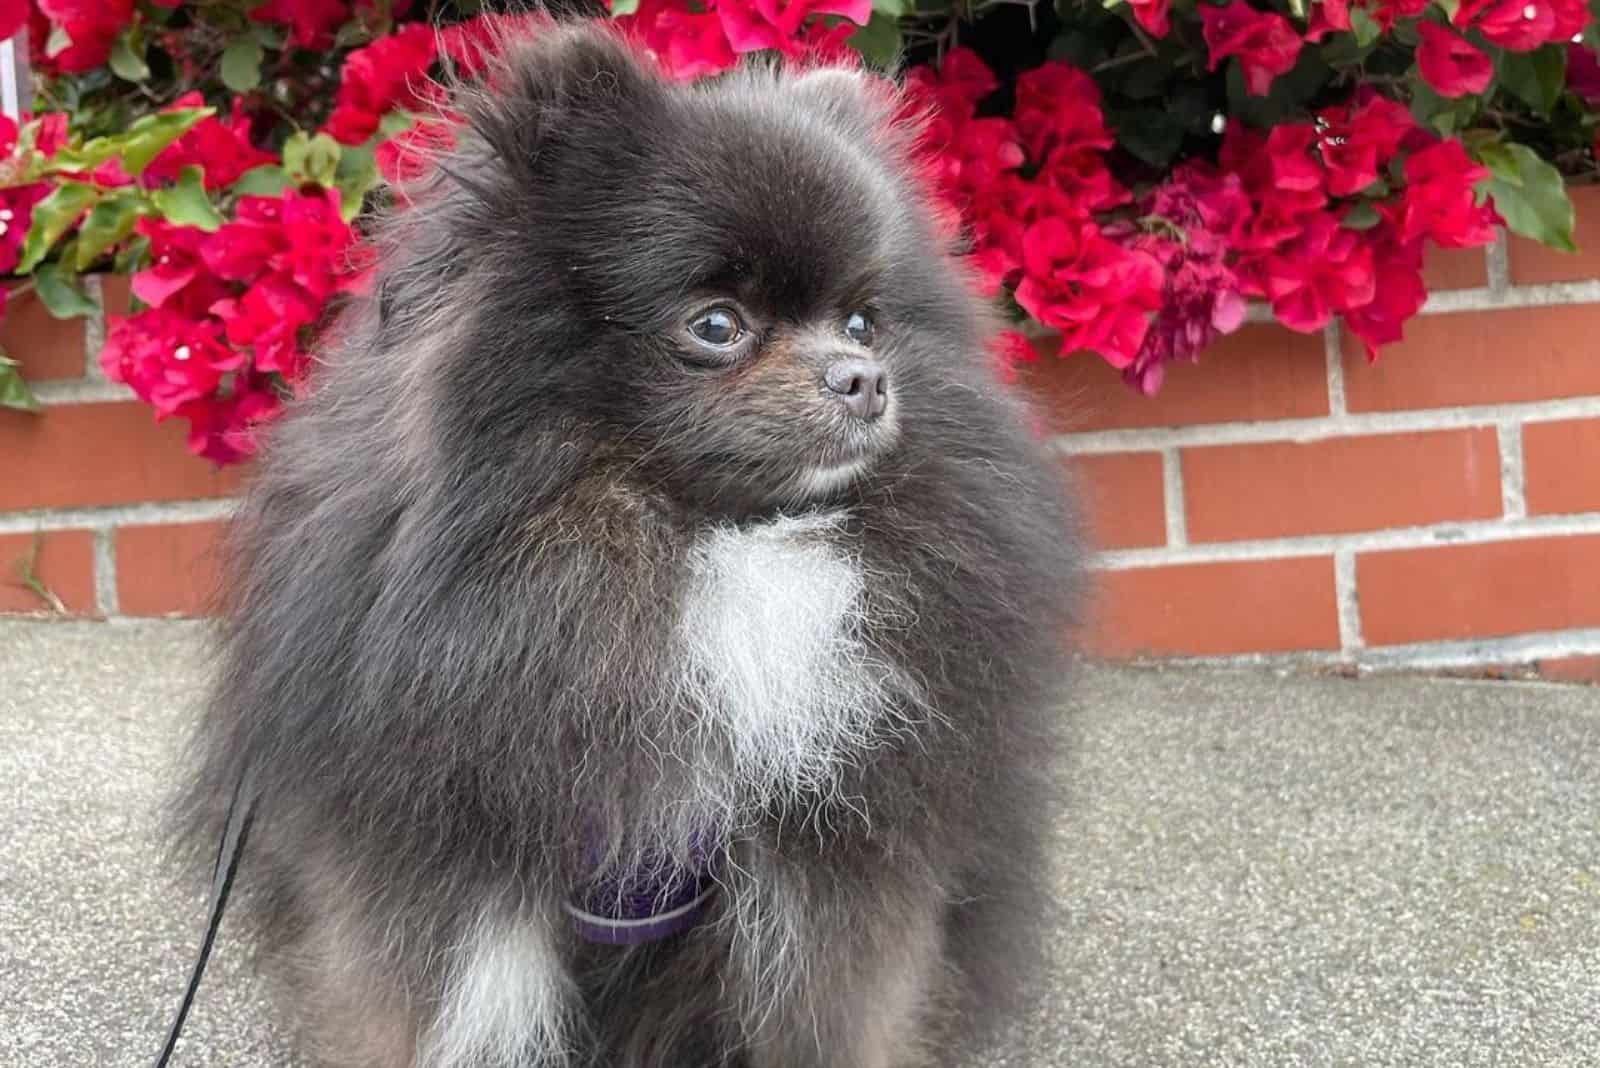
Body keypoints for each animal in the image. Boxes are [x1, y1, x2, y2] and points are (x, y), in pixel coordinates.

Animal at [178, 18, 1088, 1068]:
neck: (710, 543)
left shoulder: (833, 872)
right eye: (717, 324)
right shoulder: (448, 864)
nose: (864, 377)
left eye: (864, 321)